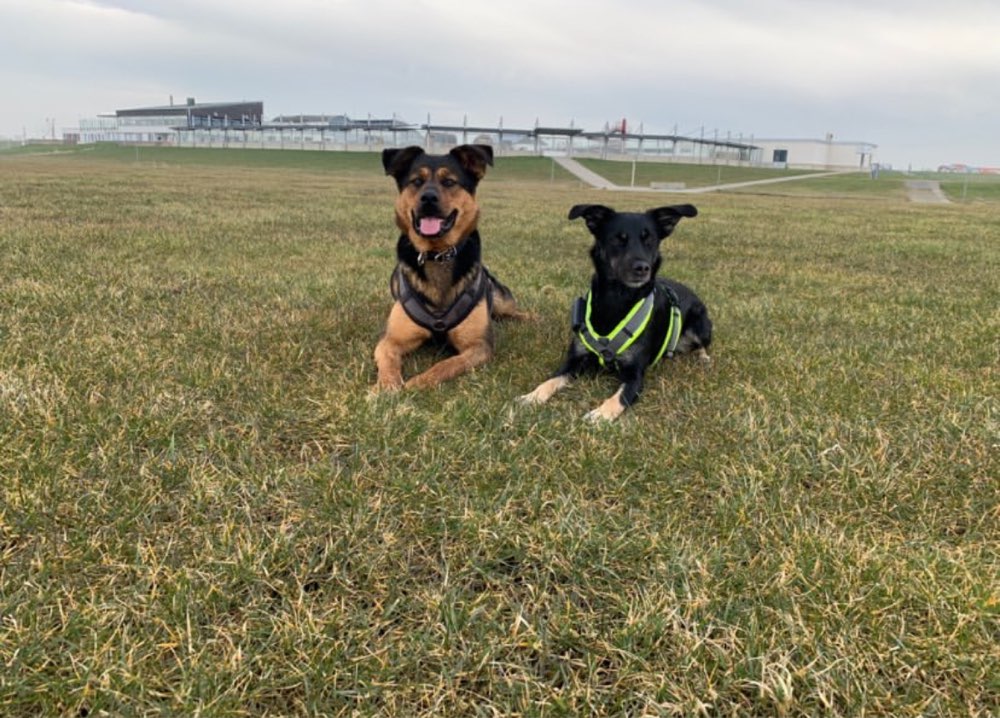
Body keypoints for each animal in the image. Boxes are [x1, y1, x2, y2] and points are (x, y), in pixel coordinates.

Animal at [376, 145, 532, 394]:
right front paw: (385, 386)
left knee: (513, 311)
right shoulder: (390, 339)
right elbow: (388, 358)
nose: (428, 198)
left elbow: (446, 365)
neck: (438, 254)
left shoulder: (478, 346)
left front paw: (417, 383)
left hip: (499, 298)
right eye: (416, 181)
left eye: (449, 182)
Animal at [520, 204, 708, 422]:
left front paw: (600, 415)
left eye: (650, 239)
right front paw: (533, 396)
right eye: (618, 239)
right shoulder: (574, 360)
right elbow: (551, 379)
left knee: (702, 344)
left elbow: (618, 398)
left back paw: (703, 357)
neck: (617, 299)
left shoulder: (635, 375)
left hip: (700, 324)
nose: (642, 268)